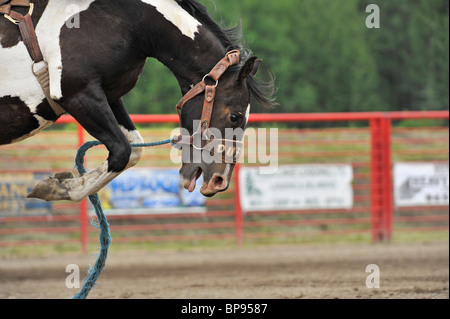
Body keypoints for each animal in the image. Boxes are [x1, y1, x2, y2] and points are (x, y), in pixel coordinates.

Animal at [0, 0, 276, 202]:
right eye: (235, 116)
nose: (220, 181)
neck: (126, 20)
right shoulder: (78, 94)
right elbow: (122, 151)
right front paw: (57, 188)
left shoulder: (109, 95)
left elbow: (133, 149)